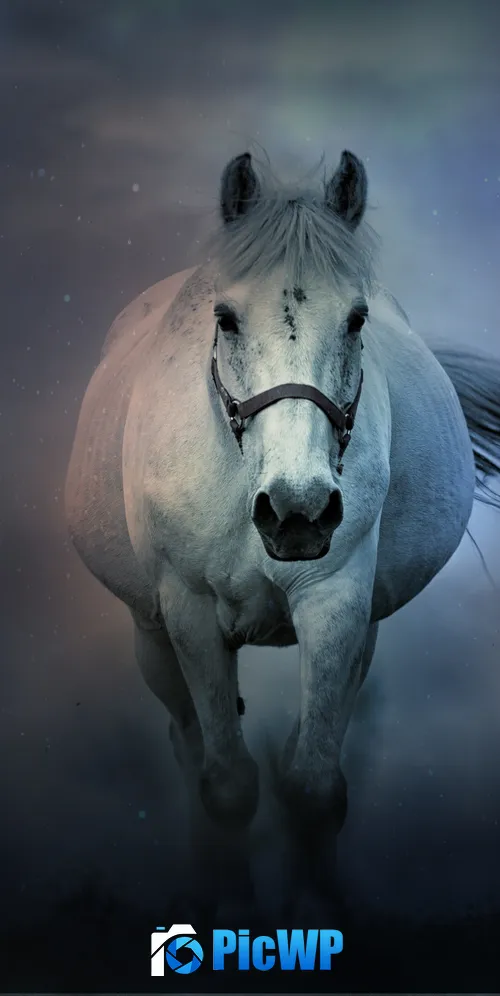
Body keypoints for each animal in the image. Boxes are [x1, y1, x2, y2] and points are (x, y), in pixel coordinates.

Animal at [65, 148, 500, 922]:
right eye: (226, 317)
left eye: (357, 319)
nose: (298, 512)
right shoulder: (188, 614)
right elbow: (227, 785)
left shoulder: (337, 603)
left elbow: (313, 787)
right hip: (151, 636)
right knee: (188, 746)